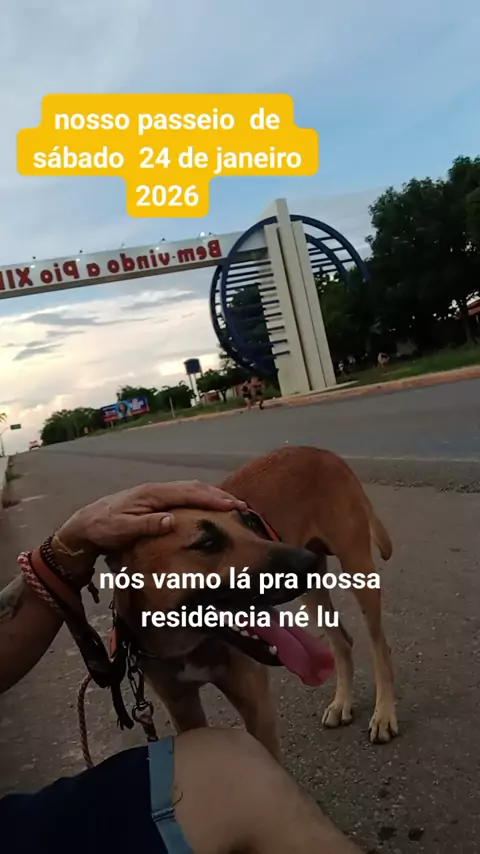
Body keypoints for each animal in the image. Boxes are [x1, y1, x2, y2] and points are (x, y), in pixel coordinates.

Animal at [113, 446, 398, 760]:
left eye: (249, 522)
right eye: (207, 542)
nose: (306, 562)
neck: (190, 642)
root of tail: (322, 451)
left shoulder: (257, 707)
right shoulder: (183, 709)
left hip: (357, 569)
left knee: (379, 647)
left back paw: (384, 714)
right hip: (313, 595)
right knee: (342, 641)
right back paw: (343, 702)